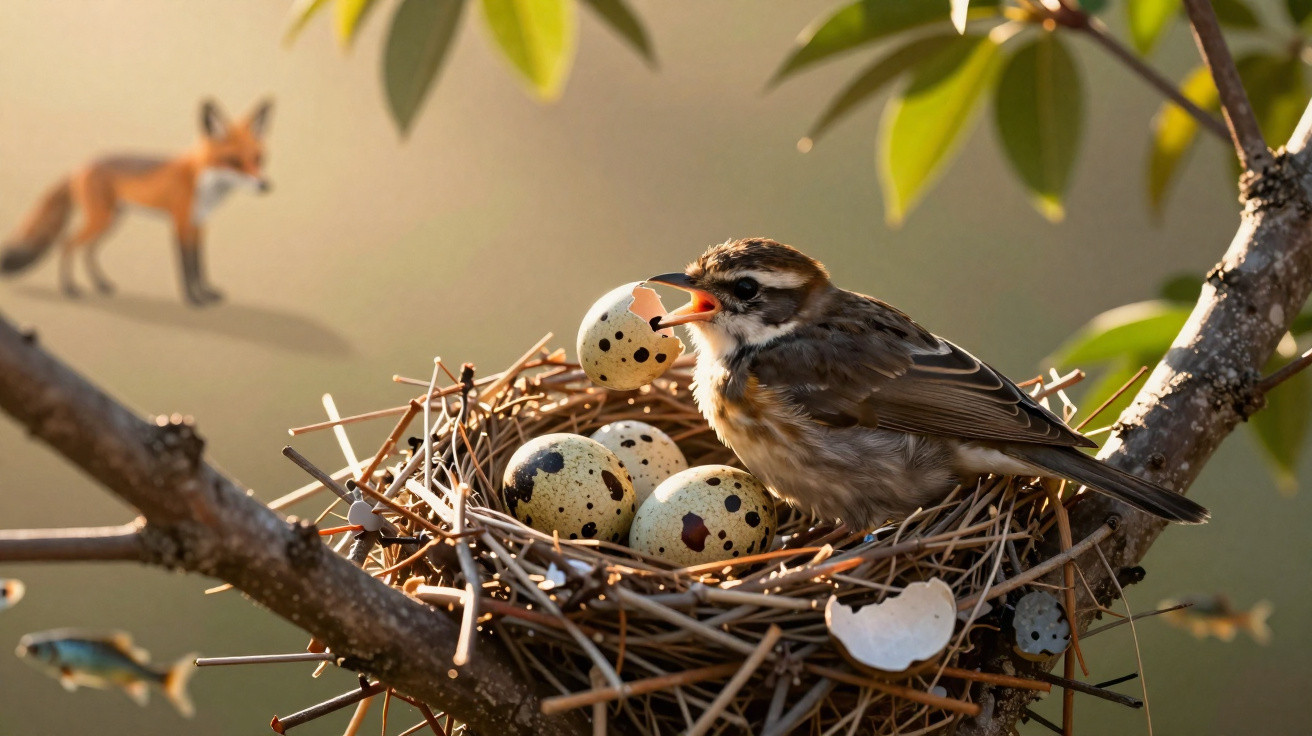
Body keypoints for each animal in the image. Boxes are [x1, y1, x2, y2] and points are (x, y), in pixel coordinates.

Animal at [0, 99, 273, 306]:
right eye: (234, 161)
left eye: (259, 158)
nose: (266, 186)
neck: (203, 184)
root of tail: (81, 166)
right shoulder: (180, 223)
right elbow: (186, 267)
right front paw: (193, 300)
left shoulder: (199, 225)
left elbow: (199, 264)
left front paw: (207, 293)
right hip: (101, 220)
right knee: (67, 244)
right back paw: (70, 288)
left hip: (111, 221)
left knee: (88, 250)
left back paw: (101, 284)